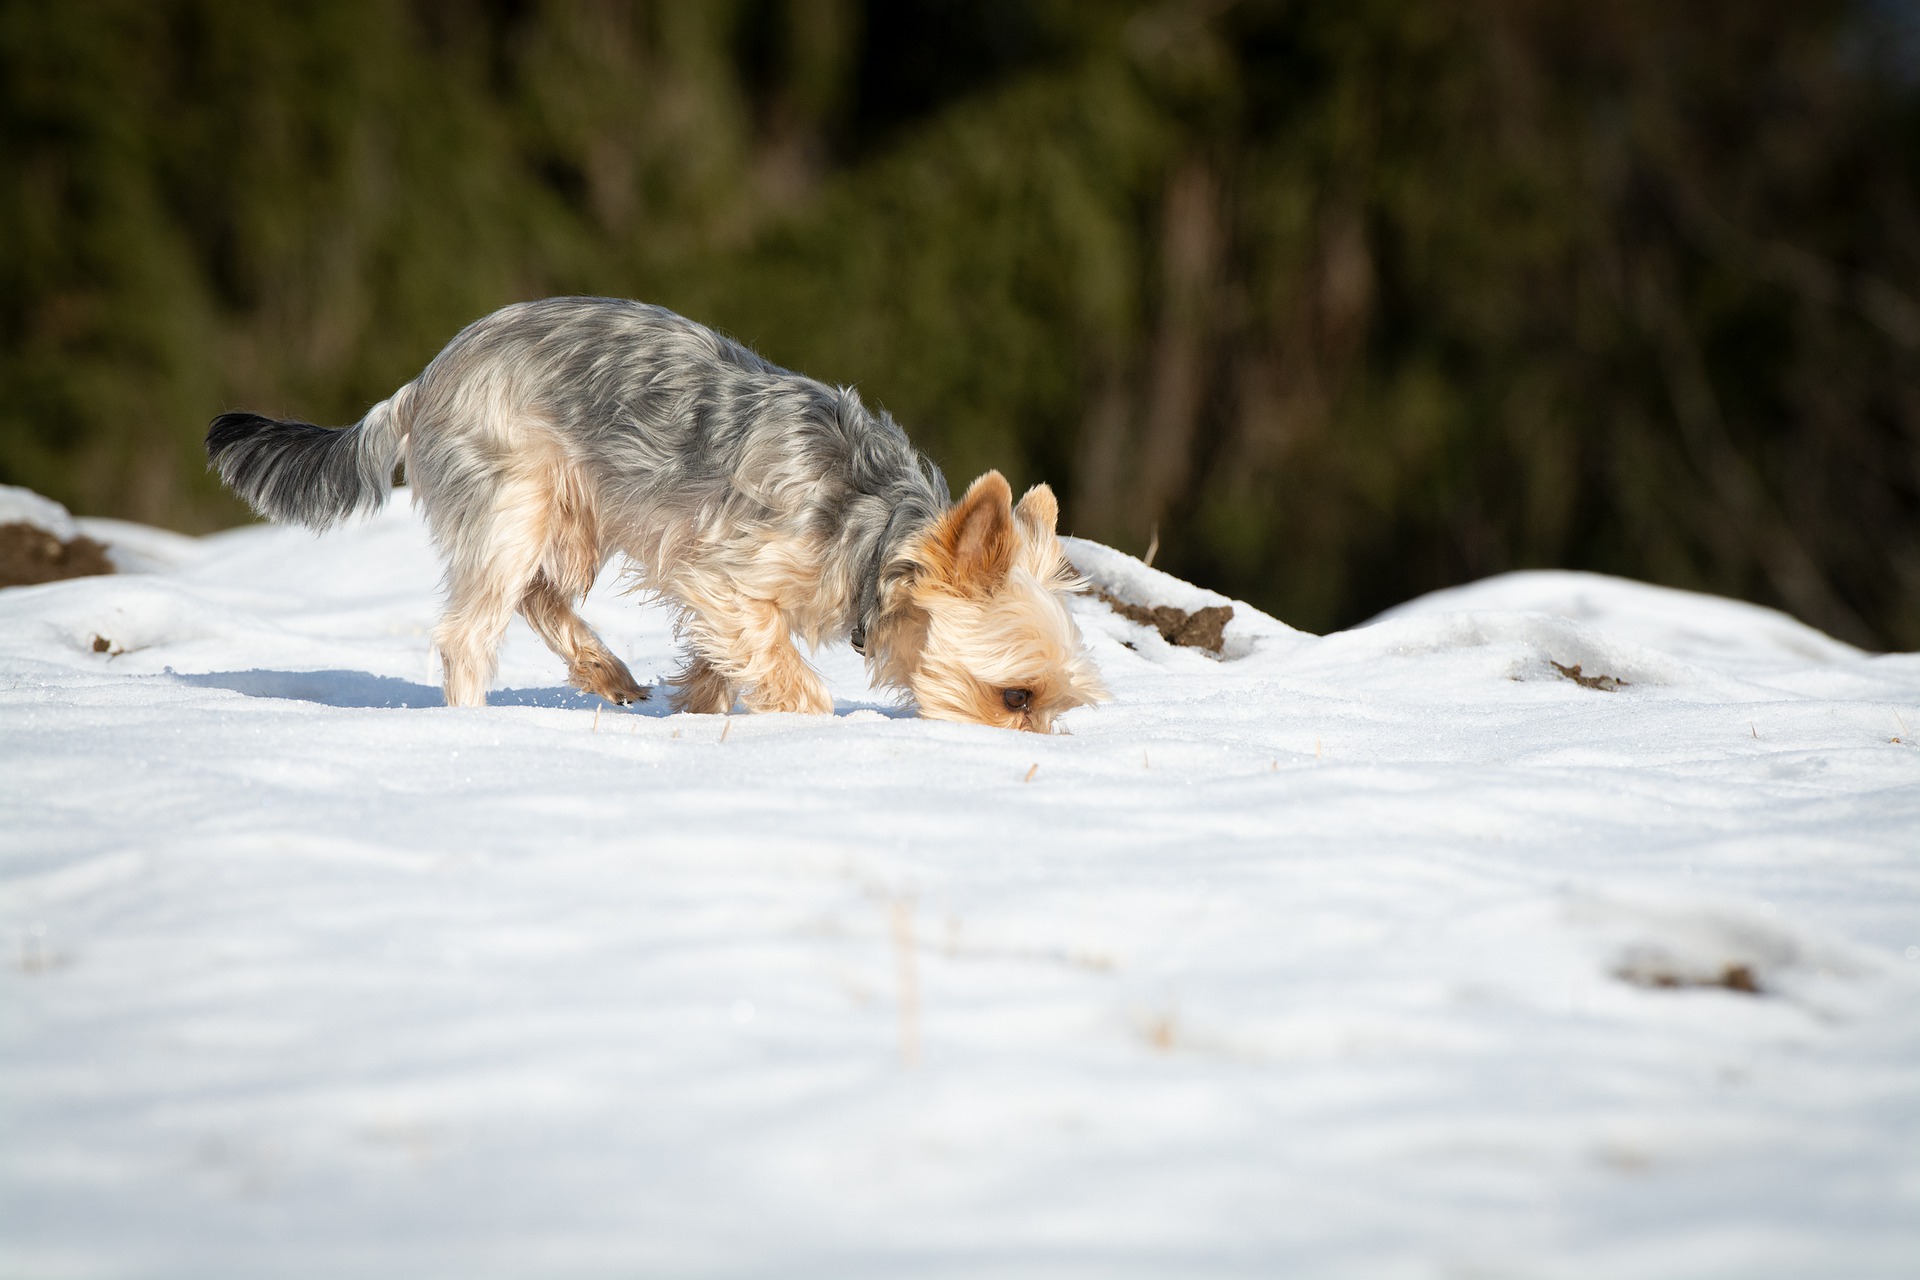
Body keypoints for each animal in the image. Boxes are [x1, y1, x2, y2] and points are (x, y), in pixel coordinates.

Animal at [206, 293, 1113, 729]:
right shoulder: (726, 574)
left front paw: (700, 714)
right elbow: (790, 676)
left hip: (568, 517)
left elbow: (720, 666)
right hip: (516, 495)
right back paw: (476, 731)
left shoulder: (725, 597)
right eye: (1017, 698)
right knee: (472, 629)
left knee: (538, 593)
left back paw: (606, 672)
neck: (878, 534)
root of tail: (423, 379)